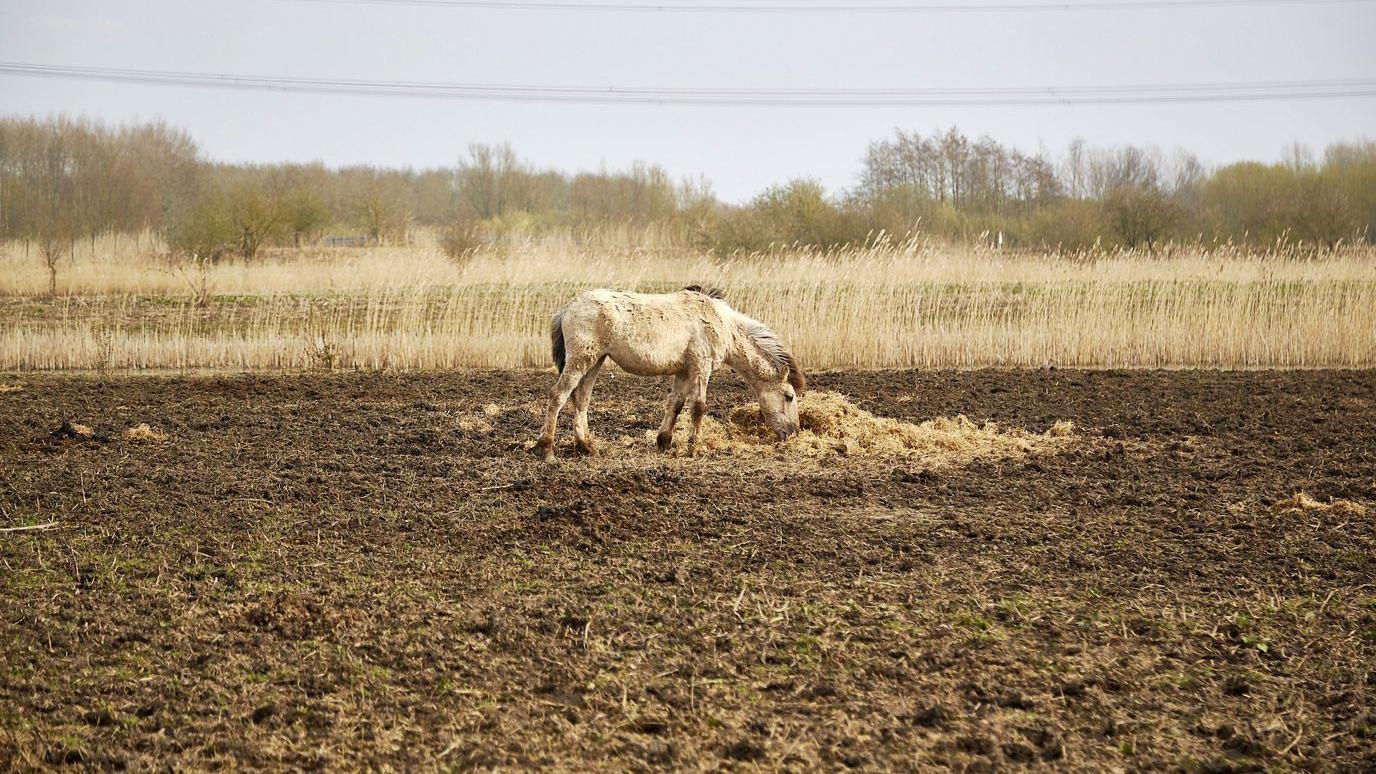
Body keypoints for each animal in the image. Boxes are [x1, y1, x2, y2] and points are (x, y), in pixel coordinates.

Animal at [531, 286, 807, 462]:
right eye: (789, 396)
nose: (793, 433)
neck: (723, 325)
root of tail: (566, 308)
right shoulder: (701, 368)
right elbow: (698, 407)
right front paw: (693, 447)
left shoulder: (684, 372)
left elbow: (675, 404)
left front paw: (664, 442)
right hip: (580, 361)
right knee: (558, 396)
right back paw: (547, 451)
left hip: (595, 362)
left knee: (581, 399)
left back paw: (585, 447)